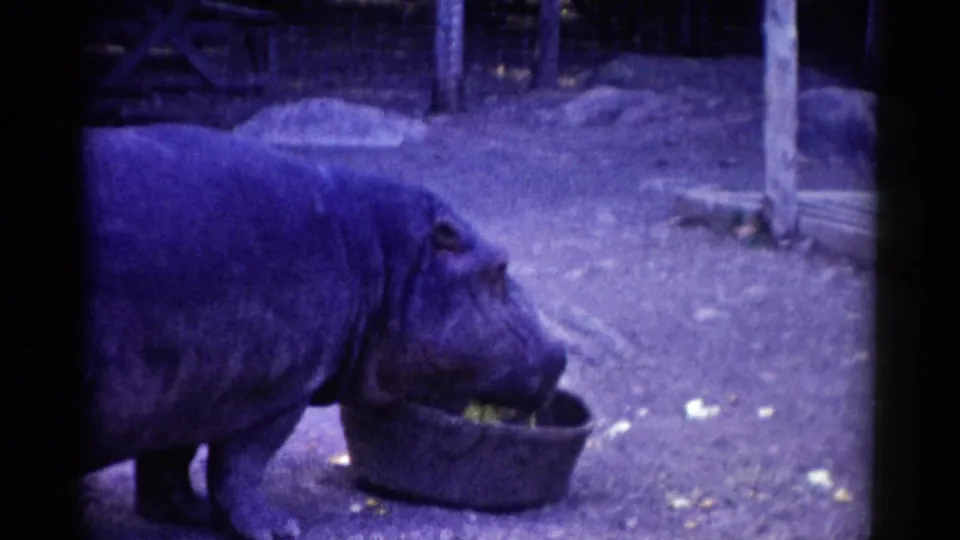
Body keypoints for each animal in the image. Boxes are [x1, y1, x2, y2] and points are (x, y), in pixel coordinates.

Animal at [81, 124, 567, 539]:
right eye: (500, 266)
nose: (562, 351)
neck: (383, 255)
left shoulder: (191, 390)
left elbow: (169, 461)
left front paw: (191, 514)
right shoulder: (276, 390)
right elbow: (241, 463)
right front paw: (278, 529)